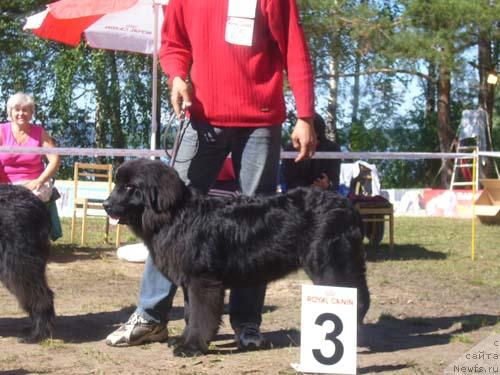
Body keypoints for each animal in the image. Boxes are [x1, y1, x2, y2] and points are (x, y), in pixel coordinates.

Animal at [103, 159, 370, 358]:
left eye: (130, 188)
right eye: (117, 184)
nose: (106, 204)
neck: (177, 215)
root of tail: (347, 206)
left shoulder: (203, 281)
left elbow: (200, 316)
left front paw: (190, 347)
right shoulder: (190, 282)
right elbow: (190, 314)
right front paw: (185, 340)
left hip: (331, 265)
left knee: (355, 299)